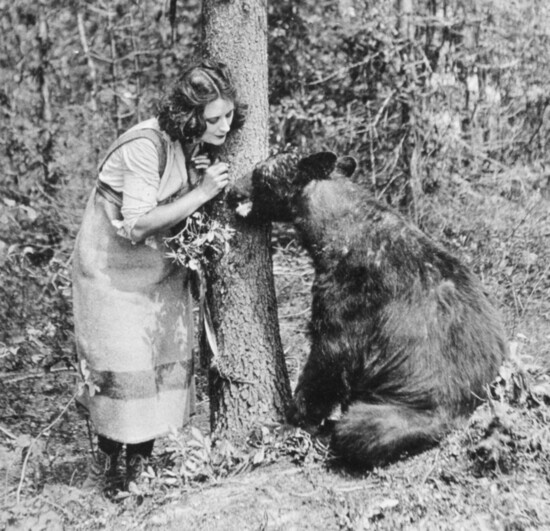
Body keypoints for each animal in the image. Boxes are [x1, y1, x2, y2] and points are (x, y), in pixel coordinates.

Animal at [231, 152, 512, 468]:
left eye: (260, 175)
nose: (231, 193)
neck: (337, 233)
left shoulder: (351, 296)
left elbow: (330, 357)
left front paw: (289, 421)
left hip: (406, 411)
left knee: (360, 428)